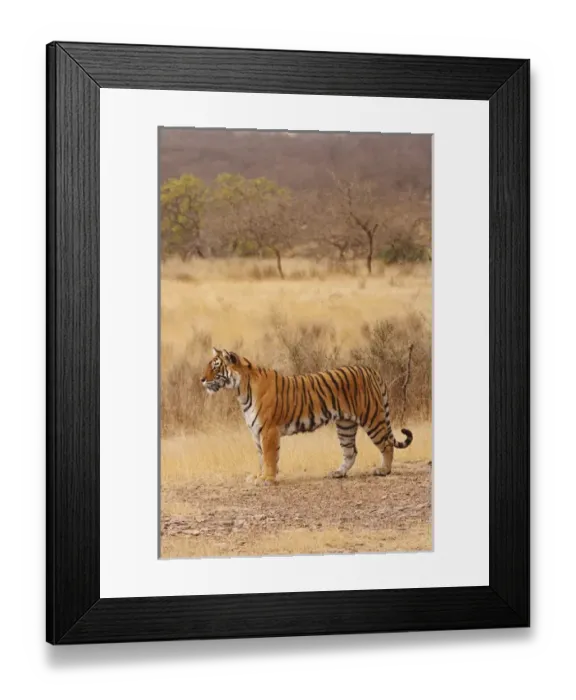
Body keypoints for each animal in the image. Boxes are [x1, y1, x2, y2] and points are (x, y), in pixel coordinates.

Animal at [201, 347, 413, 484]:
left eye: (216, 367)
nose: (201, 379)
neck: (241, 390)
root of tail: (370, 369)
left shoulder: (268, 430)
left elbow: (269, 456)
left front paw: (267, 479)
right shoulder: (256, 432)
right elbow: (261, 457)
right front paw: (258, 476)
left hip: (372, 418)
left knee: (386, 444)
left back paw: (383, 470)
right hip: (345, 424)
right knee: (350, 452)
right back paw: (338, 473)